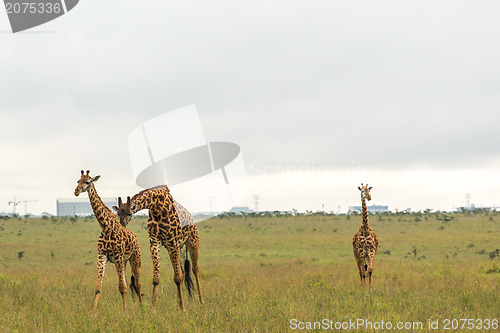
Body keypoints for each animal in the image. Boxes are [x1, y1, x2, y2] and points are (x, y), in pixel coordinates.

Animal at [75, 170, 144, 310]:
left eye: (87, 182)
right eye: (78, 181)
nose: (76, 191)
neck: (105, 226)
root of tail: (135, 237)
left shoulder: (117, 257)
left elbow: (122, 287)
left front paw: (124, 311)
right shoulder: (102, 256)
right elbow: (98, 287)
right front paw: (93, 311)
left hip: (135, 259)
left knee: (138, 284)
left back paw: (142, 307)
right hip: (124, 261)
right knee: (128, 283)